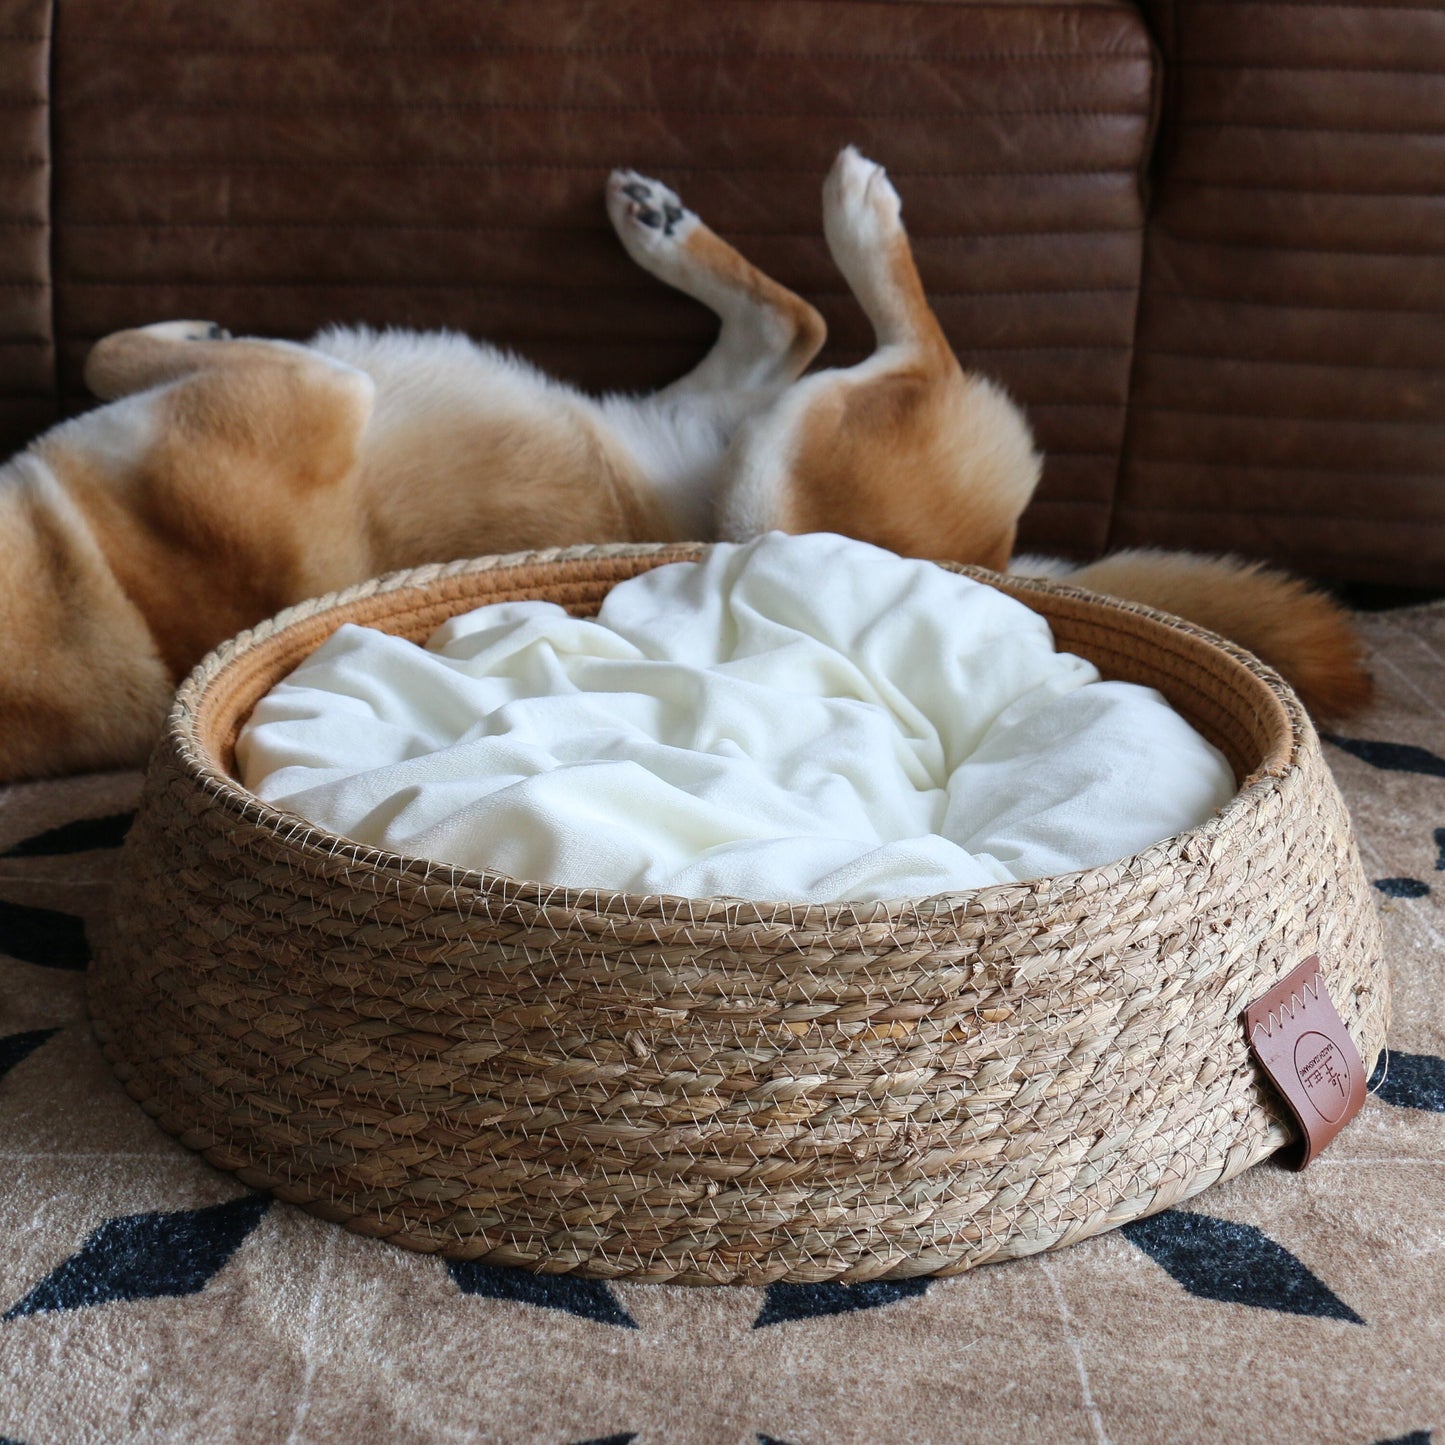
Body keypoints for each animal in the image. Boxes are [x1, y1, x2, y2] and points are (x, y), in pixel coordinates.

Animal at [0, 148, 1364, 786]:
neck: (72, 589)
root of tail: (1004, 565)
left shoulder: (283, 387)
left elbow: (110, 347)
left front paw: (188, 324)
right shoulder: (306, 394)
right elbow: (181, 358)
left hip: (754, 437)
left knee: (805, 325)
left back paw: (678, 223)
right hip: (788, 480)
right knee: (879, 346)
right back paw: (851, 211)